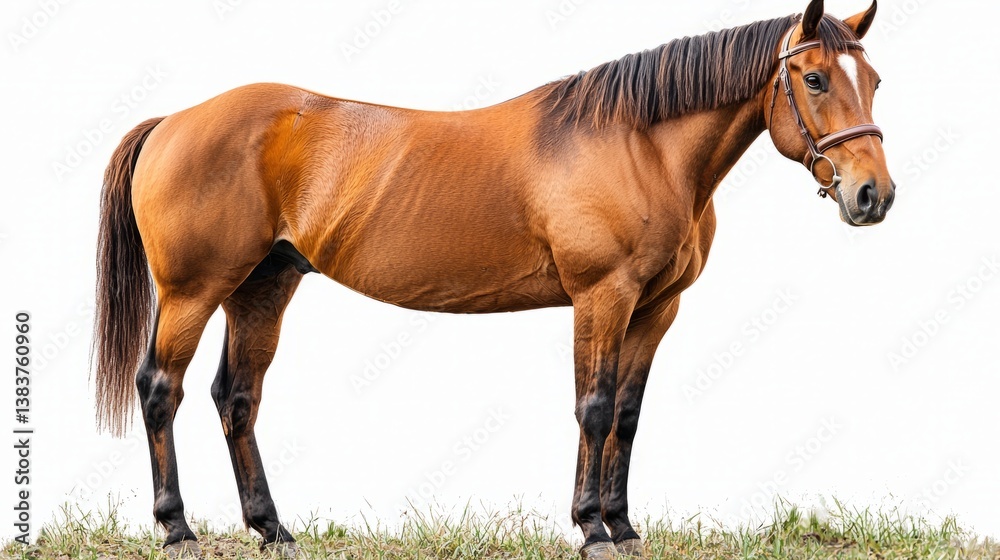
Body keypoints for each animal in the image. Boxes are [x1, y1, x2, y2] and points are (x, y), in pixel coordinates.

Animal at [92, 1, 893, 558]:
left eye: (876, 80)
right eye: (814, 78)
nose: (872, 195)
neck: (639, 145)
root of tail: (173, 121)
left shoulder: (655, 308)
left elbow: (628, 416)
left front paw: (625, 526)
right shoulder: (601, 297)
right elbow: (594, 408)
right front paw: (591, 528)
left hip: (263, 288)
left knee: (237, 398)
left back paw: (272, 528)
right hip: (193, 292)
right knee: (161, 389)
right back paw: (177, 528)